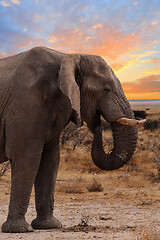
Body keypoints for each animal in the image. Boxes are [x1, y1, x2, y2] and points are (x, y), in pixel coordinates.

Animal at [0, 46, 141, 232]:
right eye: (106, 89)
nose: (96, 124)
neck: (66, 57)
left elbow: (50, 161)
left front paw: (49, 226)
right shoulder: (25, 102)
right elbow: (27, 157)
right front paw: (18, 229)